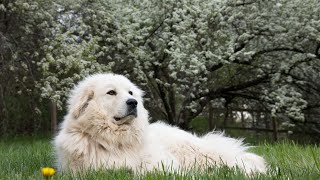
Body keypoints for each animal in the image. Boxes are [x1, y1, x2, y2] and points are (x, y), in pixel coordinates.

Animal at [53, 73, 266, 174]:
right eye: (111, 92)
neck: (115, 140)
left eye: (130, 92)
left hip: (201, 154)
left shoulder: (161, 164)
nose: (133, 103)